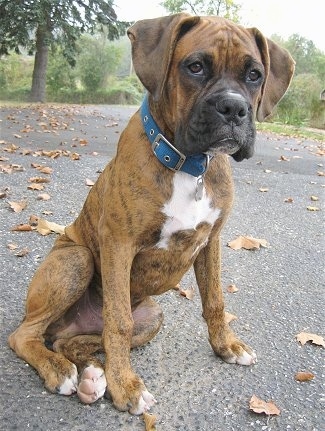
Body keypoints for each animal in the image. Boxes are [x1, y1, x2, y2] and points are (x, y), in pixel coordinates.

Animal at [9, 14, 294, 416]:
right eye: (195, 67)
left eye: (254, 75)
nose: (234, 108)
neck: (190, 165)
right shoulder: (118, 243)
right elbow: (118, 321)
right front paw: (126, 385)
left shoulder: (212, 241)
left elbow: (215, 300)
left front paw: (226, 345)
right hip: (77, 260)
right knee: (26, 335)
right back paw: (62, 371)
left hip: (152, 317)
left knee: (76, 342)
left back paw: (92, 376)